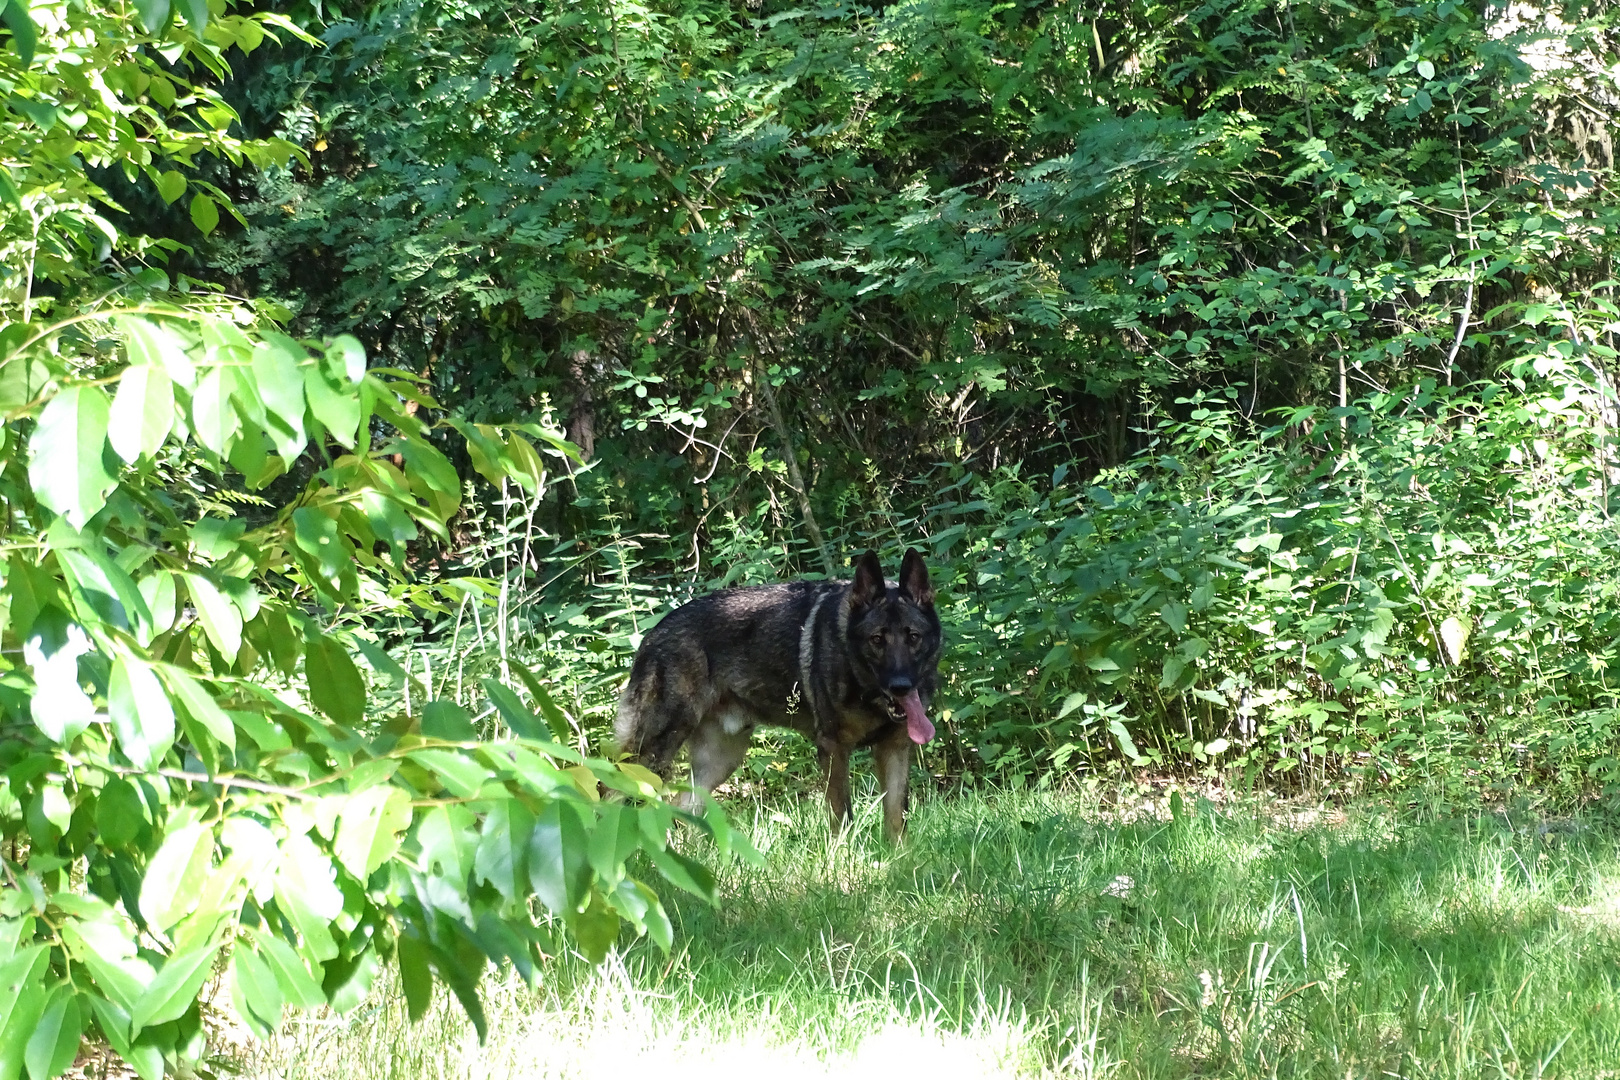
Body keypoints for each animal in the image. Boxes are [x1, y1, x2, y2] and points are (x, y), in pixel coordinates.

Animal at [612, 550, 946, 841]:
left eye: (913, 637)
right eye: (877, 640)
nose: (901, 686)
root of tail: (654, 632)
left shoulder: (895, 750)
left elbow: (897, 819)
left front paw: (899, 862)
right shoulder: (833, 749)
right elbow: (842, 816)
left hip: (720, 761)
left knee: (682, 807)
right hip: (653, 749)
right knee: (612, 792)